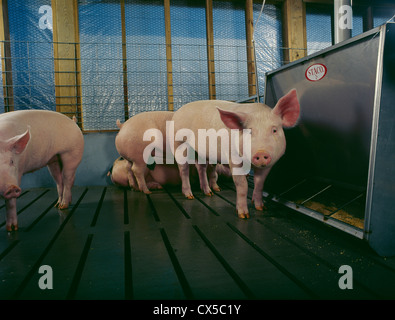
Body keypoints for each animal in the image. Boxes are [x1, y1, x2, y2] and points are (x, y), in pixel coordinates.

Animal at [172, 90, 300, 220]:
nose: (261, 153)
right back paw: (189, 195)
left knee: (201, 168)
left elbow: (259, 183)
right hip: (179, 143)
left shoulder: (267, 166)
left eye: (274, 130)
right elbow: (242, 185)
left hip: (201, 152)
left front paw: (261, 208)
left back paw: (209, 192)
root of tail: (177, 112)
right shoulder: (233, 158)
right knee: (184, 169)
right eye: (249, 131)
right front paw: (244, 215)